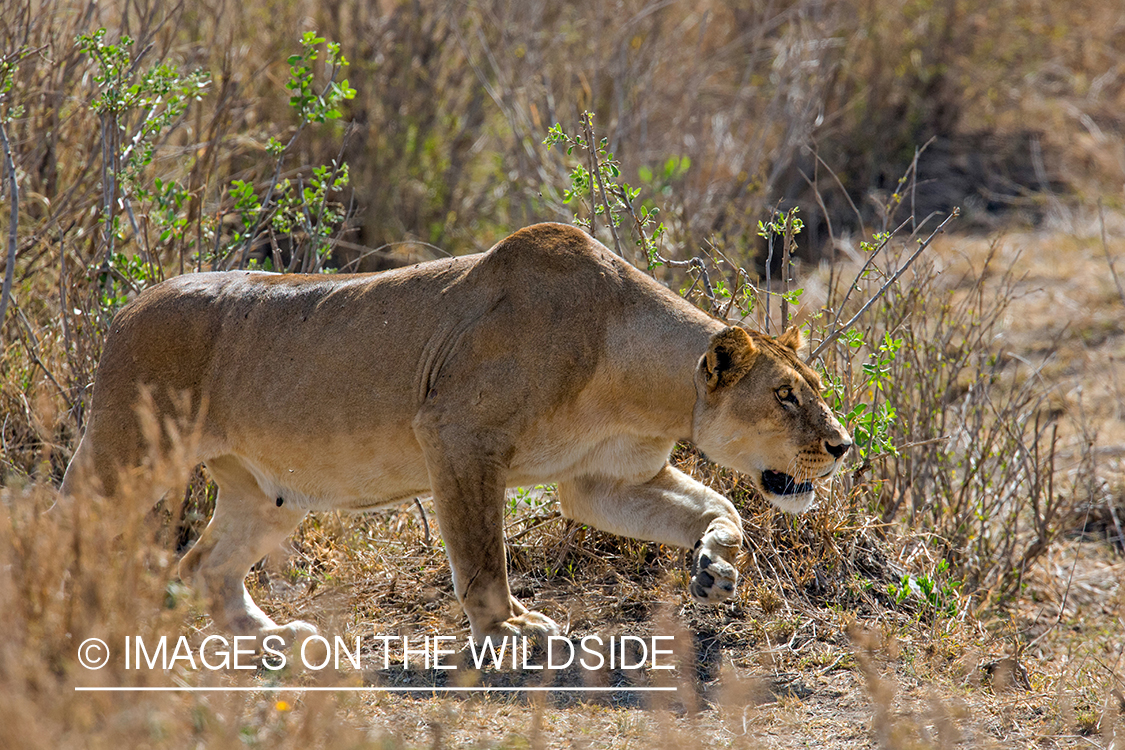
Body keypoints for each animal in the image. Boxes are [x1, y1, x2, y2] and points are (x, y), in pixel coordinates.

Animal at [60, 222, 852, 646]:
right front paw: (510, 629)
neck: (640, 383)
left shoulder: (604, 480)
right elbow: (480, 553)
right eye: (784, 396)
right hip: (129, 457)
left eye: (814, 390)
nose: (842, 446)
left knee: (201, 566)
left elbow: (722, 508)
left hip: (268, 495)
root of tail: (129, 304)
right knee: (68, 528)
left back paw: (271, 641)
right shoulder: (457, 435)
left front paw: (714, 569)